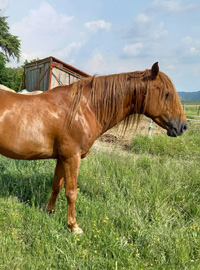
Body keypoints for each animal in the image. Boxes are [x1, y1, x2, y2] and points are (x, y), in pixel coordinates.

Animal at [0, 62, 188, 234]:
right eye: (167, 94)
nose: (183, 126)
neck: (84, 108)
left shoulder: (62, 158)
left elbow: (56, 186)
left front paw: (49, 212)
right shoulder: (72, 158)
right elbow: (71, 192)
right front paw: (73, 226)